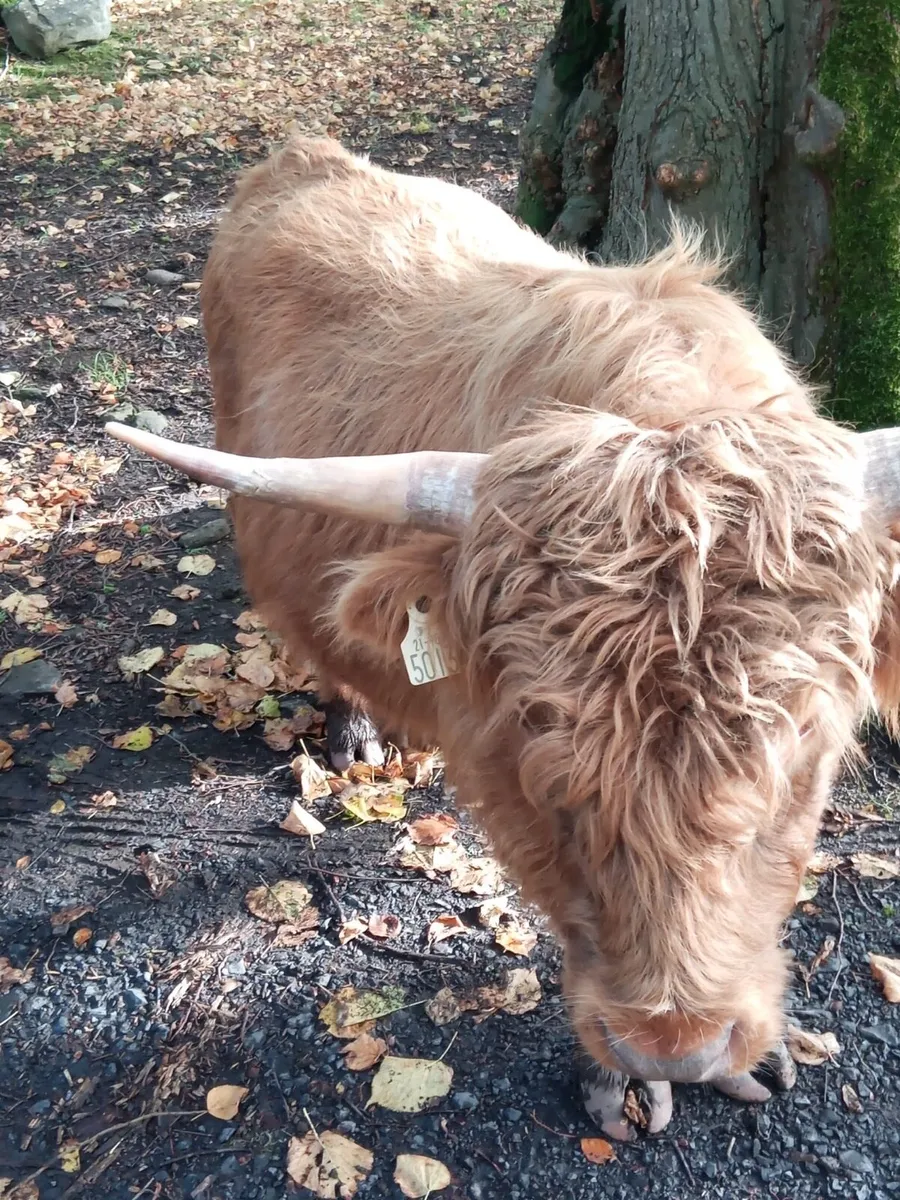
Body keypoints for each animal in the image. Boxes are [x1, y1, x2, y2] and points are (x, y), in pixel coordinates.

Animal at [106, 135, 900, 1139]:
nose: (672, 1046)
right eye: (547, 761)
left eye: (804, 755)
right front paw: (620, 1080)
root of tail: (303, 154)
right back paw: (356, 731)